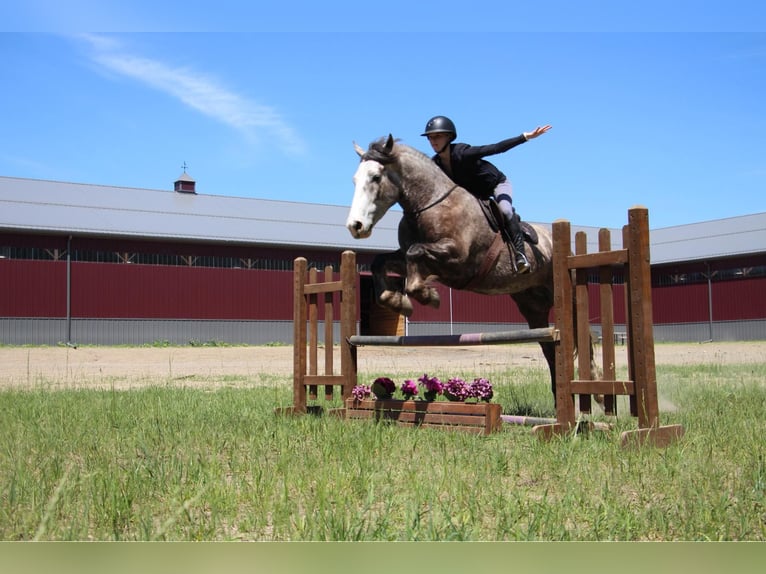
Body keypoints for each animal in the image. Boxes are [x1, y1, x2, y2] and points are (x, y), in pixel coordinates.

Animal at [344, 136, 572, 402]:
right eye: (355, 179)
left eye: (376, 177)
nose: (355, 226)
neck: (429, 204)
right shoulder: (413, 258)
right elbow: (382, 262)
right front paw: (397, 300)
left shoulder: (458, 260)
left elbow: (416, 254)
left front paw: (427, 296)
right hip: (532, 305)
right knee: (550, 348)